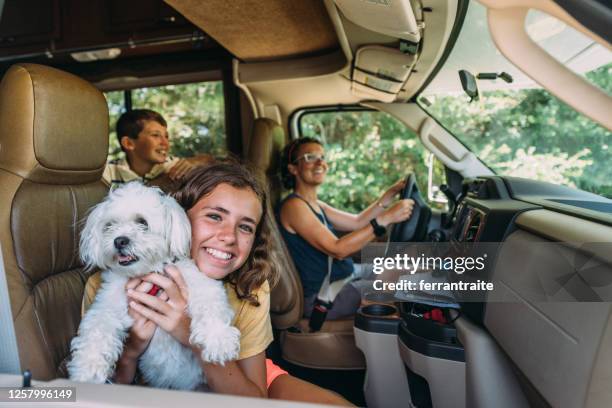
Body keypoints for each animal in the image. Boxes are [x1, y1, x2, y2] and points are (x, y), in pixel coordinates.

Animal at [67, 183, 239, 390]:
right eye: (110, 225)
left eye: (143, 222)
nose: (119, 240)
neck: (148, 274)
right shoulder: (107, 305)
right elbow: (97, 329)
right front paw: (88, 369)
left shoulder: (199, 282)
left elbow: (210, 305)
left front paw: (218, 339)